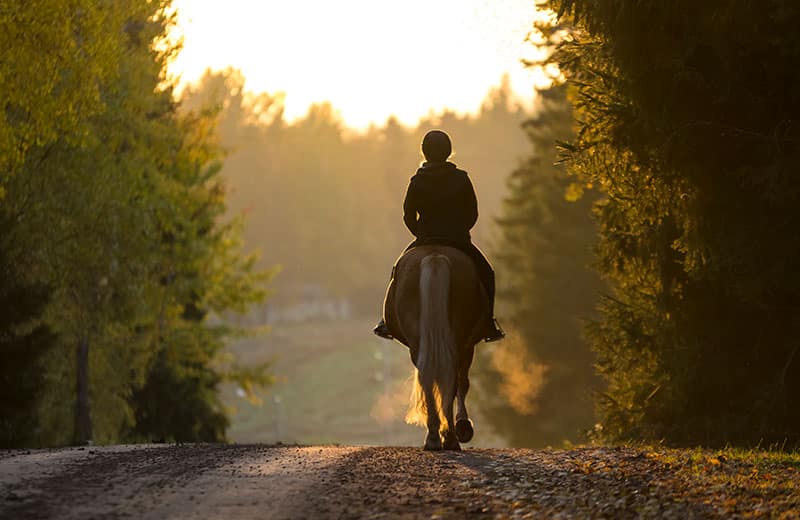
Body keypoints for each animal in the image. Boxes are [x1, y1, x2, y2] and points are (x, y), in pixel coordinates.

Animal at [382, 246, 488, 448]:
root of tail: (435, 256)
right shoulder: (468, 345)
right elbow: (463, 383)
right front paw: (463, 426)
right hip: (458, 338)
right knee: (451, 379)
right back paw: (449, 437)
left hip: (419, 340)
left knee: (428, 377)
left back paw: (434, 437)